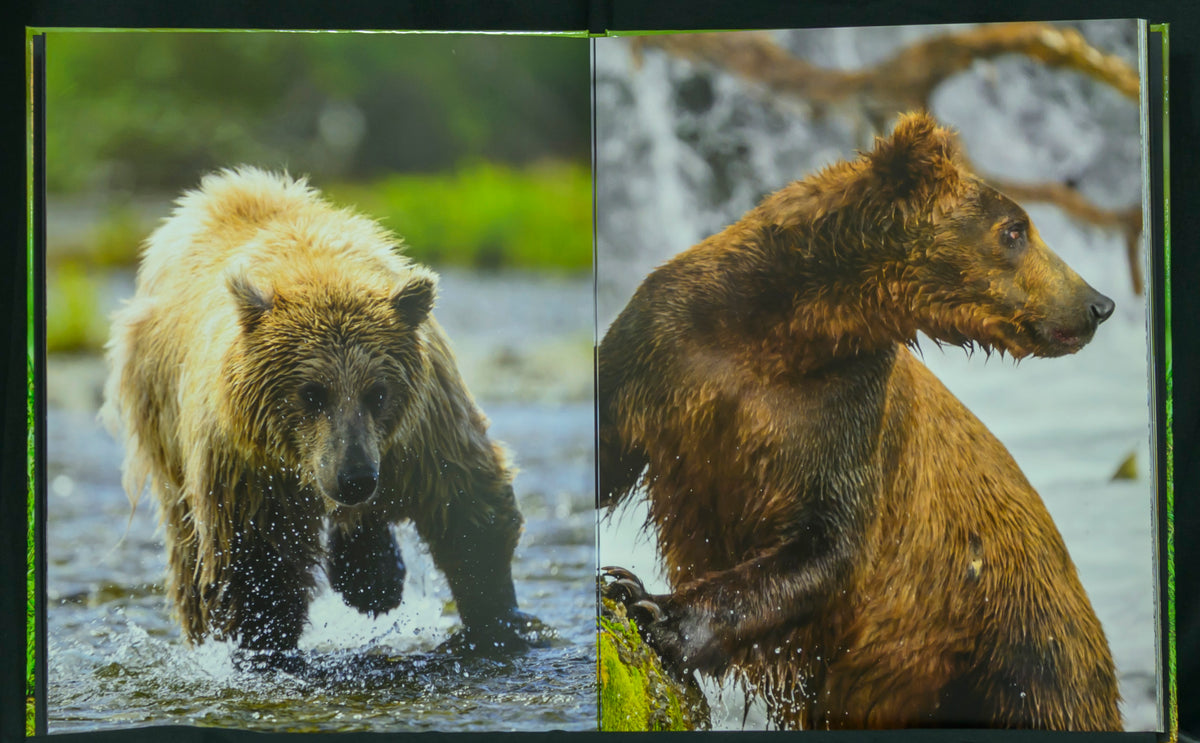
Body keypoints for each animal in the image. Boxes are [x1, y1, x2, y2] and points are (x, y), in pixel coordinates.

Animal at [102, 166, 536, 655]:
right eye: (311, 393)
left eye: (377, 392)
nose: (355, 477)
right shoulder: (249, 468)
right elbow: (256, 566)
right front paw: (264, 646)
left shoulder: (422, 431)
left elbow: (469, 509)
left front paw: (497, 621)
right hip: (162, 423)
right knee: (188, 549)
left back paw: (374, 578)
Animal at [598, 111, 1122, 730]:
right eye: (1015, 230)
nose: (1097, 303)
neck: (786, 330)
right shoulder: (664, 349)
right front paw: (627, 587)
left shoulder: (847, 413)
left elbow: (831, 548)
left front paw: (652, 606)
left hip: (1020, 649)